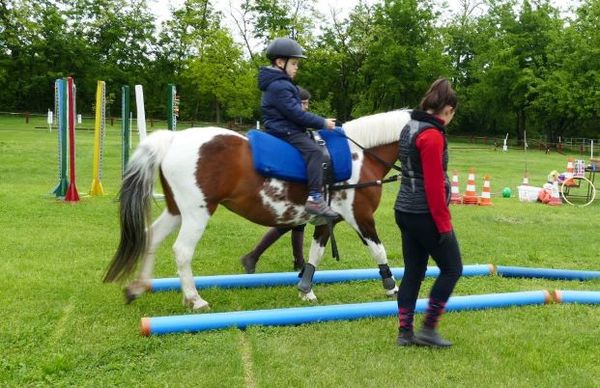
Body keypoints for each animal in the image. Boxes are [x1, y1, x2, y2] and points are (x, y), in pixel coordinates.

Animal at [104, 108, 412, 310]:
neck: (359, 155)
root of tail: (173, 139)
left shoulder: (328, 220)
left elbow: (316, 254)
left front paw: (306, 291)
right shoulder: (360, 216)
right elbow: (378, 250)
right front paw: (392, 287)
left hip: (175, 211)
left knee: (151, 238)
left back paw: (138, 287)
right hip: (196, 213)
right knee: (182, 251)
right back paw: (195, 299)